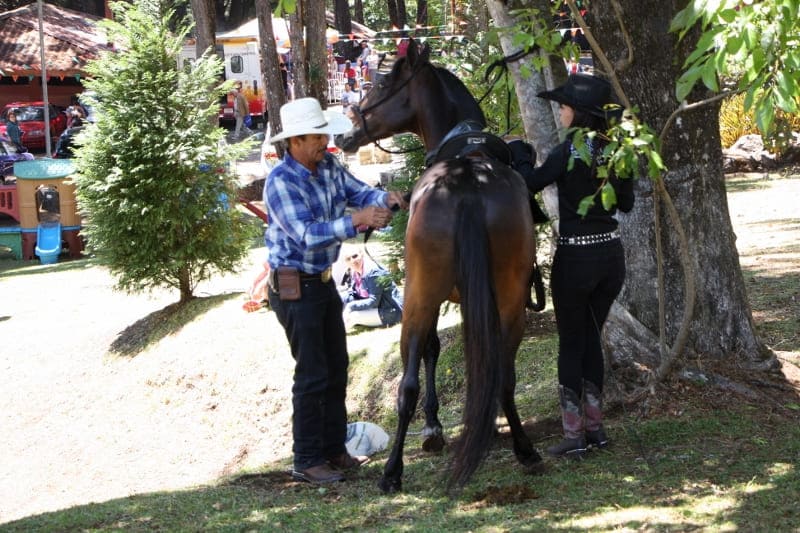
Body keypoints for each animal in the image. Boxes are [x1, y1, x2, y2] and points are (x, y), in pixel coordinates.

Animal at [338, 39, 544, 492]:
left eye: (381, 84)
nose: (344, 133)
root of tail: (466, 184)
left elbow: (431, 350)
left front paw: (432, 428)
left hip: (419, 297)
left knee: (407, 384)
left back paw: (393, 471)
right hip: (507, 301)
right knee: (502, 376)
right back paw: (523, 448)